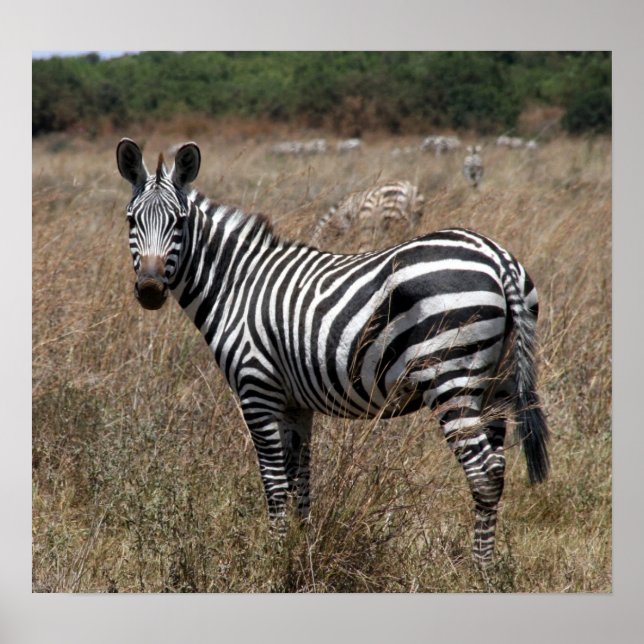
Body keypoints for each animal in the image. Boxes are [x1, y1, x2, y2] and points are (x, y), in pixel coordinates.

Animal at [116, 138, 550, 566]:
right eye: (131, 221)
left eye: (179, 222)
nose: (150, 289)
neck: (236, 286)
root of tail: (497, 257)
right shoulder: (295, 403)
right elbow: (300, 481)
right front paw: (302, 551)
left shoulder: (257, 389)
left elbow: (274, 482)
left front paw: (276, 558)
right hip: (495, 384)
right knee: (498, 468)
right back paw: (486, 565)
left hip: (451, 376)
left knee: (483, 473)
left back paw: (479, 572)